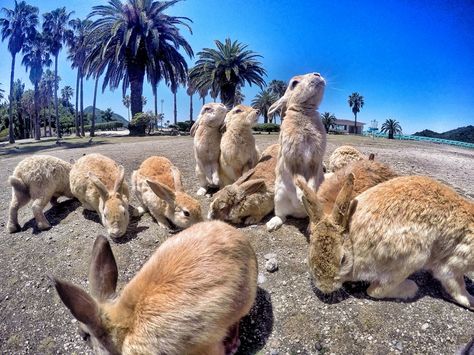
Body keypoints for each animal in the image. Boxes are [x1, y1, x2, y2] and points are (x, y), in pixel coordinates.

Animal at [264, 72, 328, 234]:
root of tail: (298, 214)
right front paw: (302, 196)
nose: (317, 74)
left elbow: (311, 178)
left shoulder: (315, 161)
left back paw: (310, 226)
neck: (304, 111)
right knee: (282, 216)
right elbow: (298, 177)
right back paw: (272, 225)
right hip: (279, 198)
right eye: (294, 83)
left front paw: (309, 193)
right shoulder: (293, 160)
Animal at [296, 175, 474, 312]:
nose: (325, 288)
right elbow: (456, 286)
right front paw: (471, 301)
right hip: (414, 256)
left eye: (343, 260)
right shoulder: (452, 264)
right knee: (375, 290)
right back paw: (411, 288)